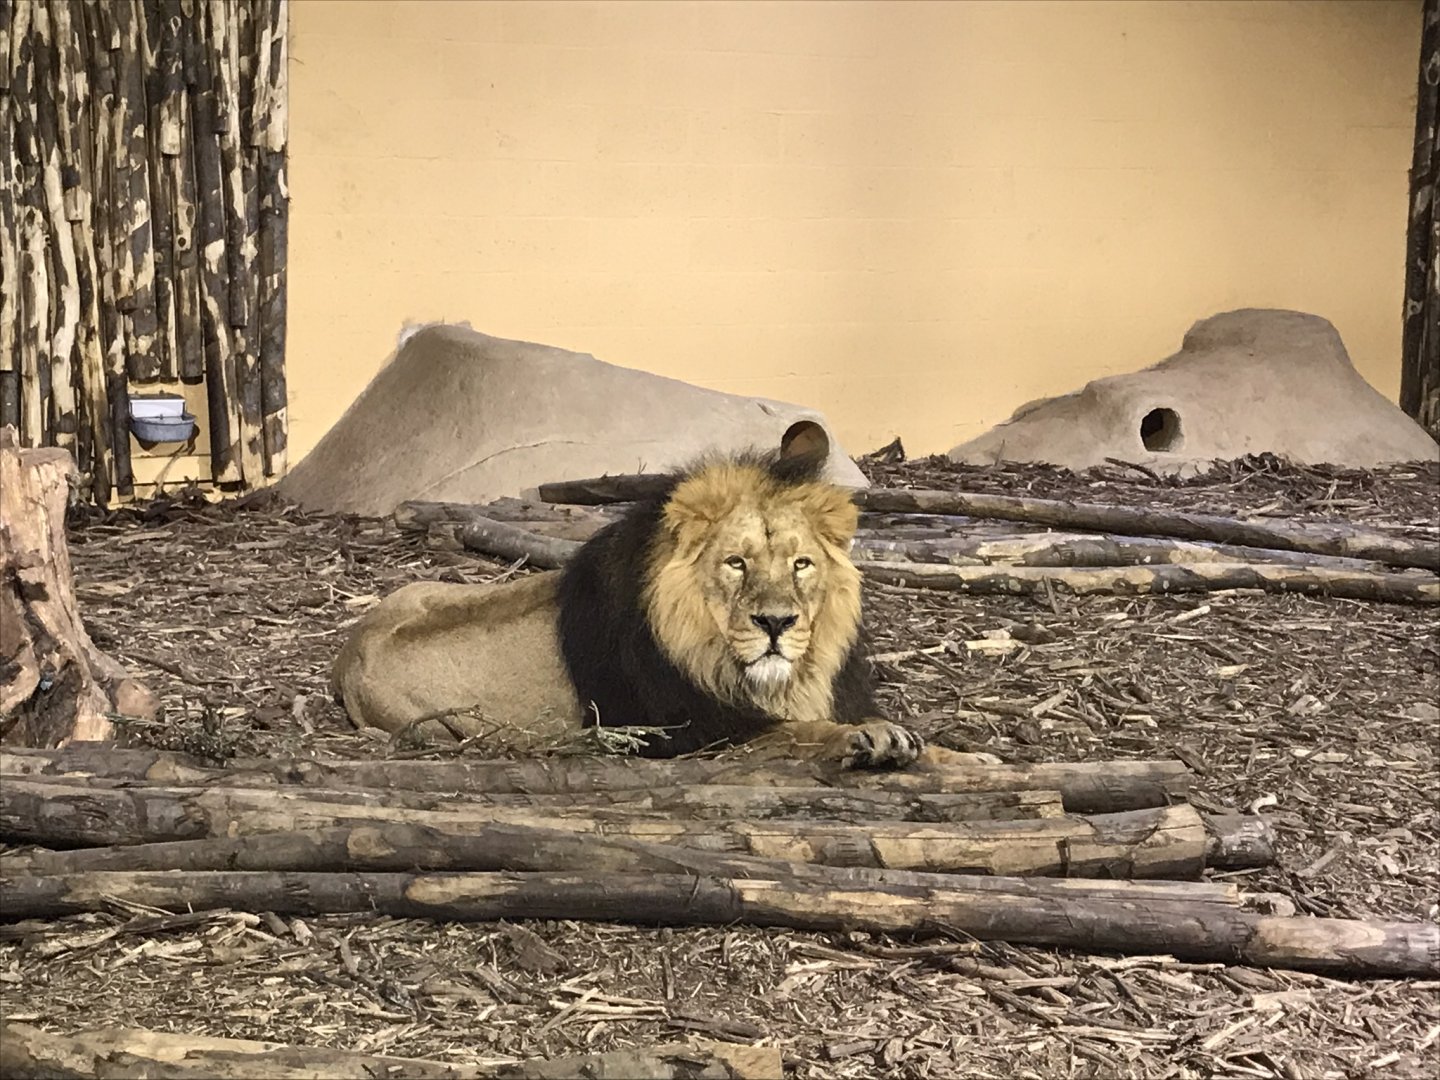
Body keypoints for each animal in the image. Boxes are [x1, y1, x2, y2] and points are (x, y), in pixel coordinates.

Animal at [332, 450, 994, 768]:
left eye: (801, 564)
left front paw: (973, 754)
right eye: (736, 563)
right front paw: (872, 737)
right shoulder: (698, 736)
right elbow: (804, 731)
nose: (776, 623)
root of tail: (345, 654)